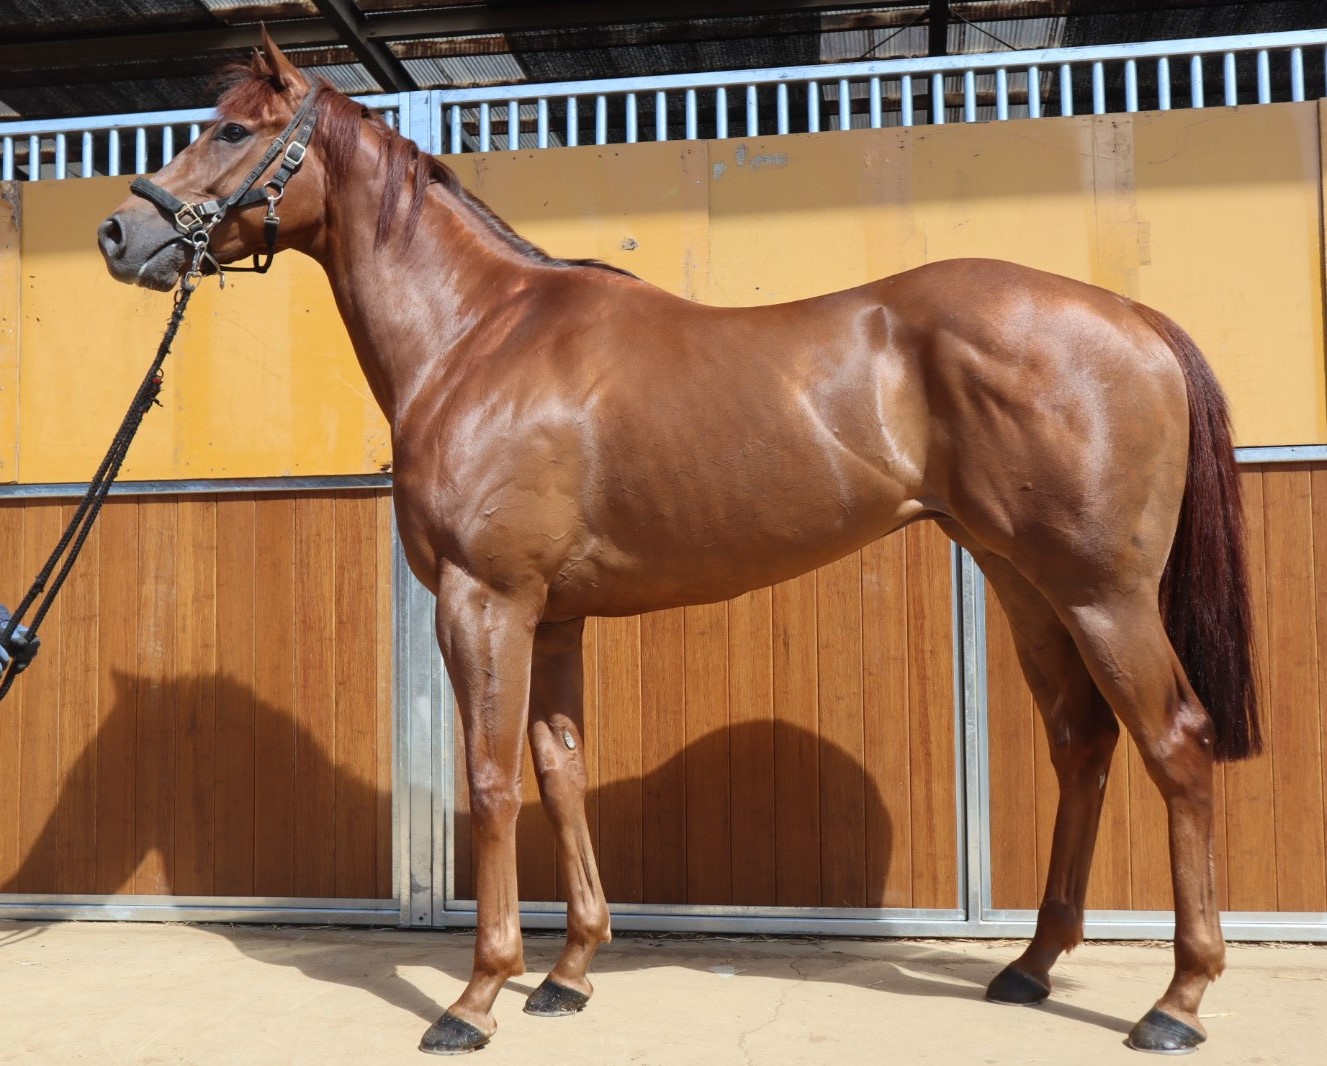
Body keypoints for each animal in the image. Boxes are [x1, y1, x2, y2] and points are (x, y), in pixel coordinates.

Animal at [97, 37, 1260, 1057]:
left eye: (230, 128)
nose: (117, 234)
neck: (477, 338)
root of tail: (1134, 317)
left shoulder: (484, 600)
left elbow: (490, 778)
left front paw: (475, 997)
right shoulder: (553, 615)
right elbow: (559, 769)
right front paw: (567, 974)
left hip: (1102, 591)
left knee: (1175, 744)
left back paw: (1176, 1001)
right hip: (1023, 582)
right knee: (1081, 741)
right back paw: (1030, 964)